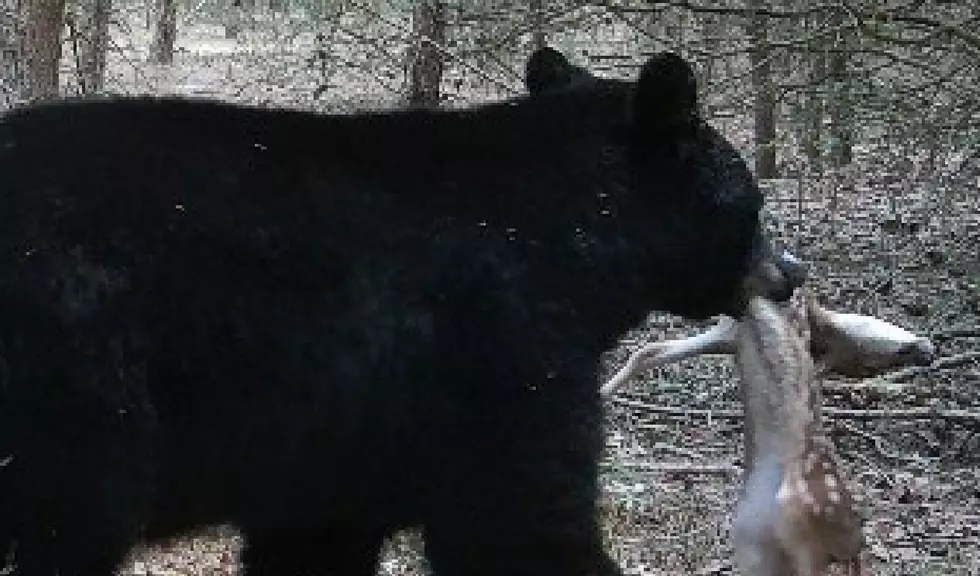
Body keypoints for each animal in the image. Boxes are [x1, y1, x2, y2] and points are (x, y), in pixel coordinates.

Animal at [0, 47, 799, 576]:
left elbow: (315, 539)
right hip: (77, 390)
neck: (574, 243)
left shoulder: (337, 444)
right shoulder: (497, 350)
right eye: (753, 203)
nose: (790, 273)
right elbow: (522, 517)